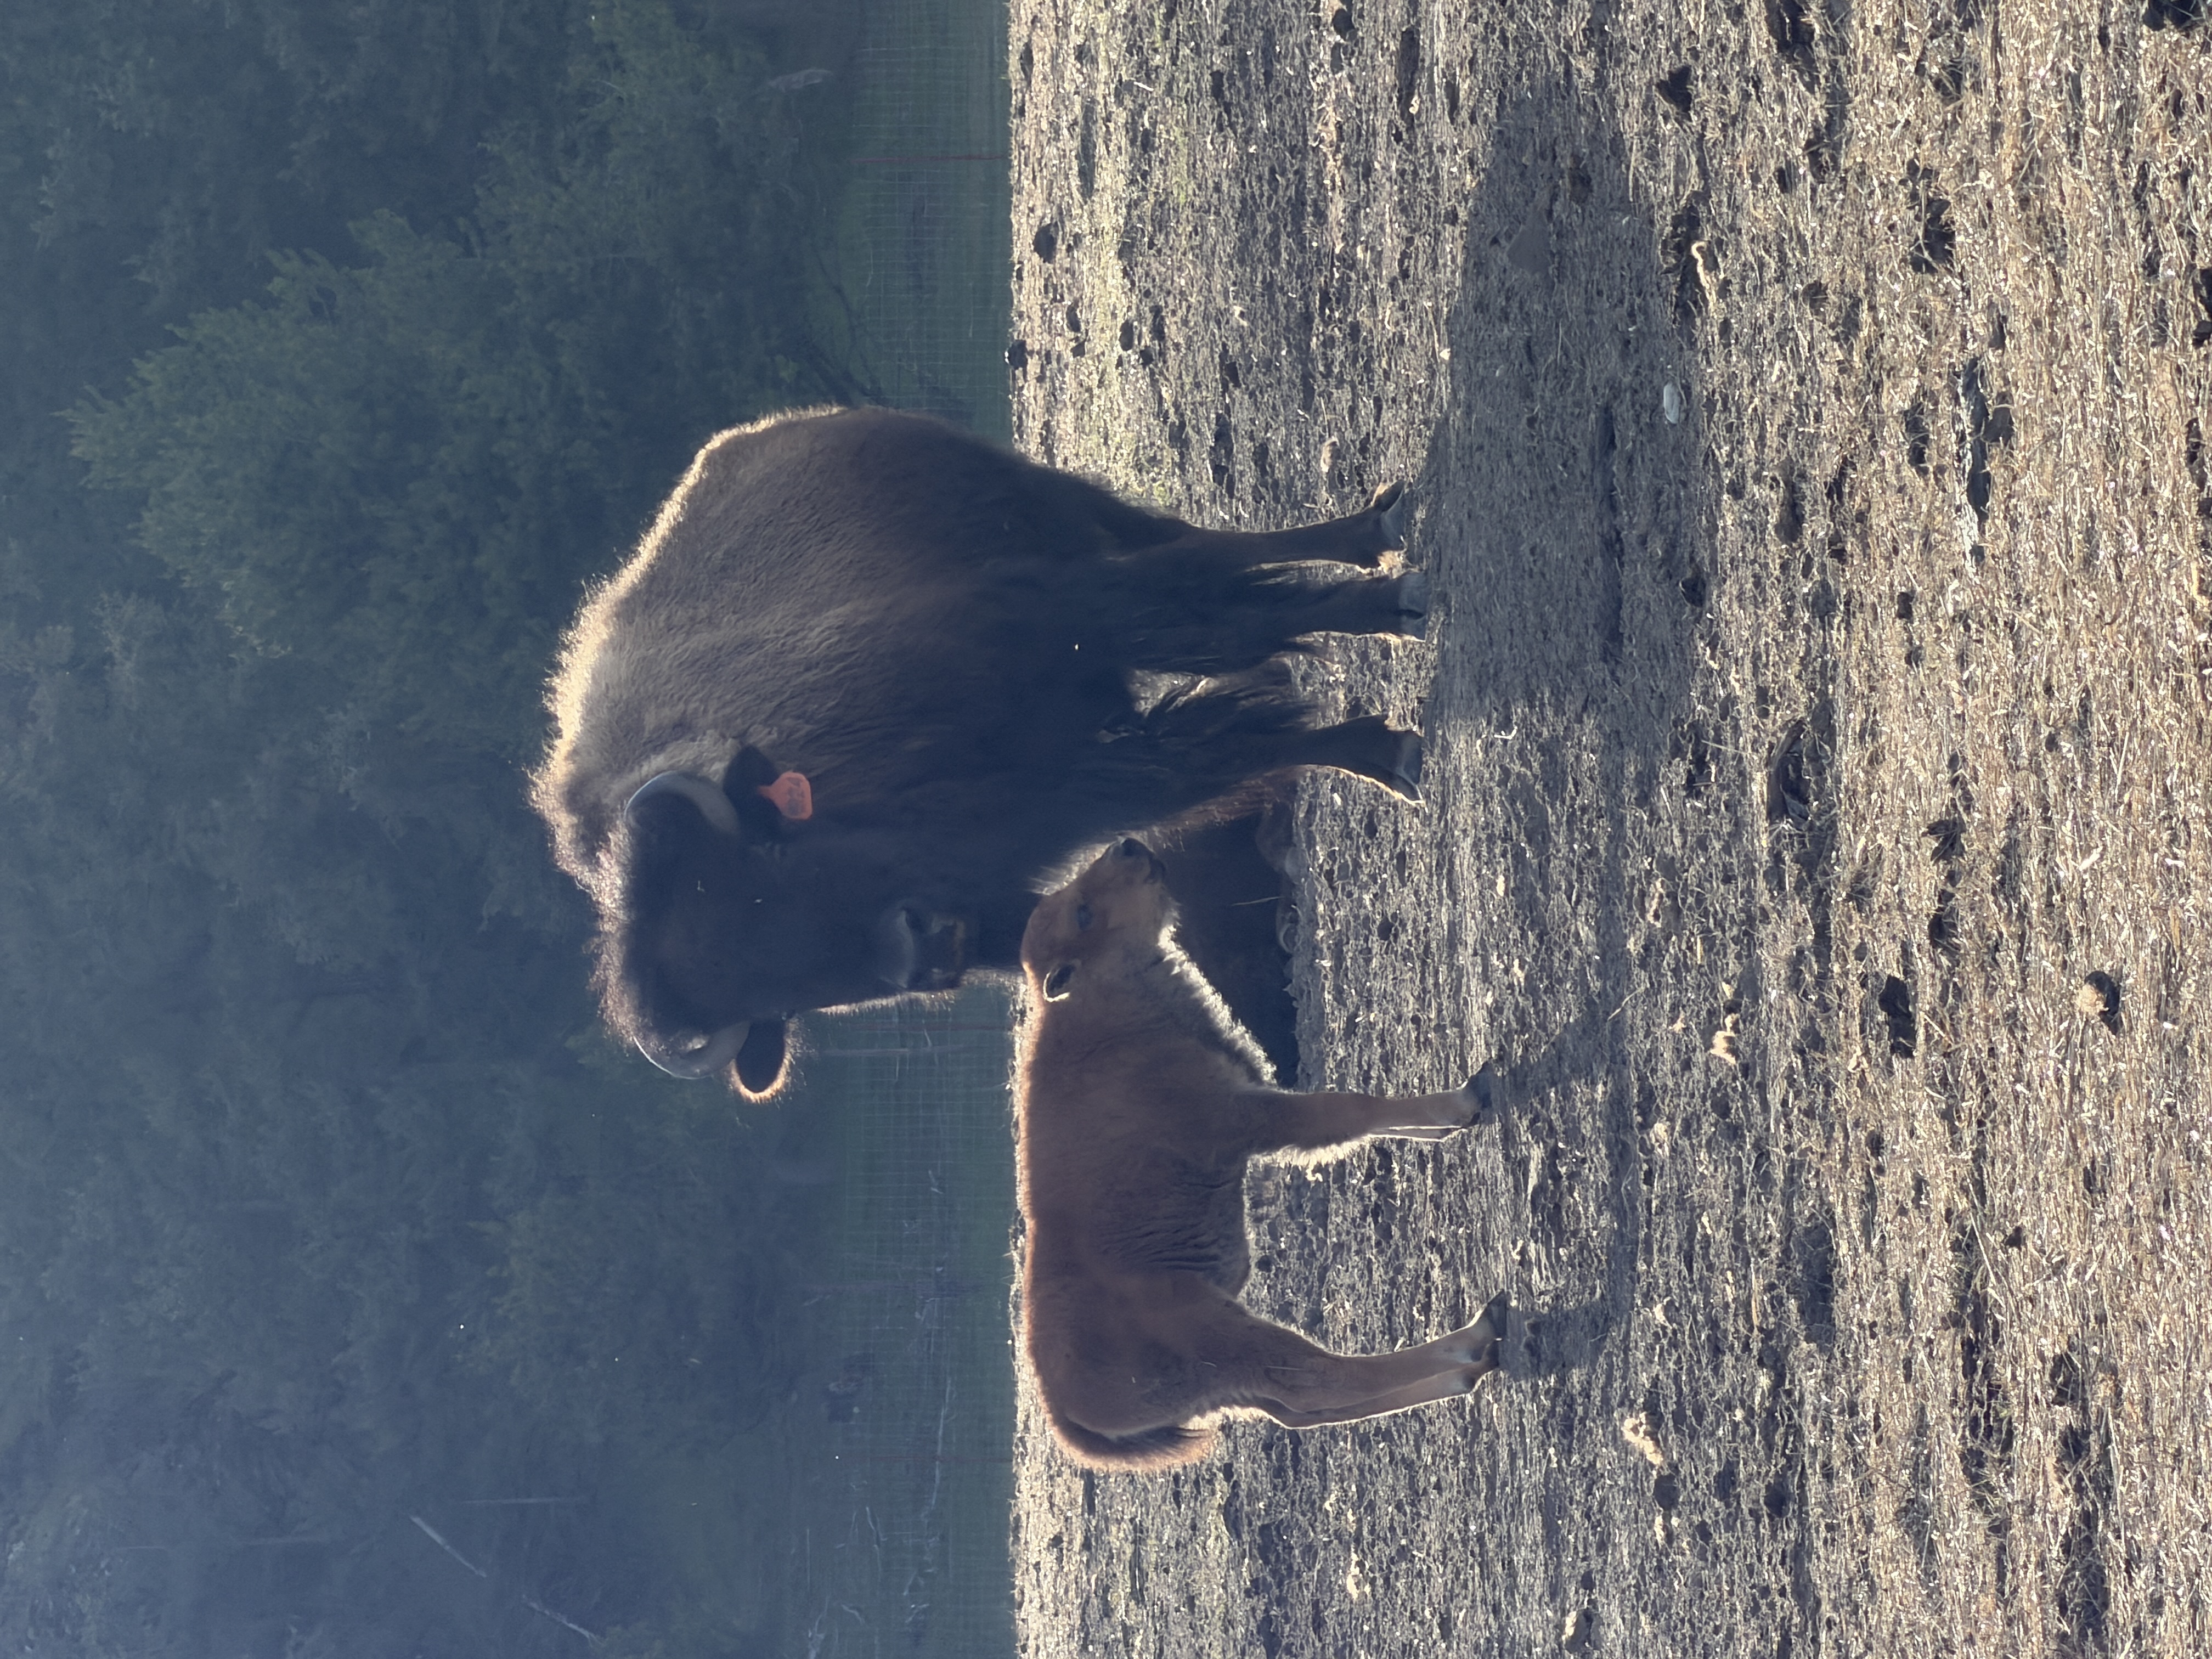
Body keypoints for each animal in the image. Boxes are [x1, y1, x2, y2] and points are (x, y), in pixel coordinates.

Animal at [533, 406, 1429, 1095]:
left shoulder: (1074, 618)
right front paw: (1378, 746)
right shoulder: (1068, 800)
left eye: (771, 865)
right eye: (776, 1002)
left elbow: (1224, 619)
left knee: (1193, 545)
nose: (922, 948)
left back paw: (1374, 536)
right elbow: (1227, 744)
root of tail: (748, 439)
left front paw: (1393, 635)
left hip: (1067, 510)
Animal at [1015, 838, 1509, 1469]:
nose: (1129, 846)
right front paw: (1466, 1100)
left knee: (1300, 1409)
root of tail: (1062, 1411)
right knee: (1319, 1379)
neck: (1095, 1014)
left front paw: (1447, 1125)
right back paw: (1479, 1342)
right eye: (1081, 913)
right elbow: (1347, 1111)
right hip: (1225, 1338)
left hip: (1232, 1382)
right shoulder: (1250, 1121)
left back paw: (1469, 1364)